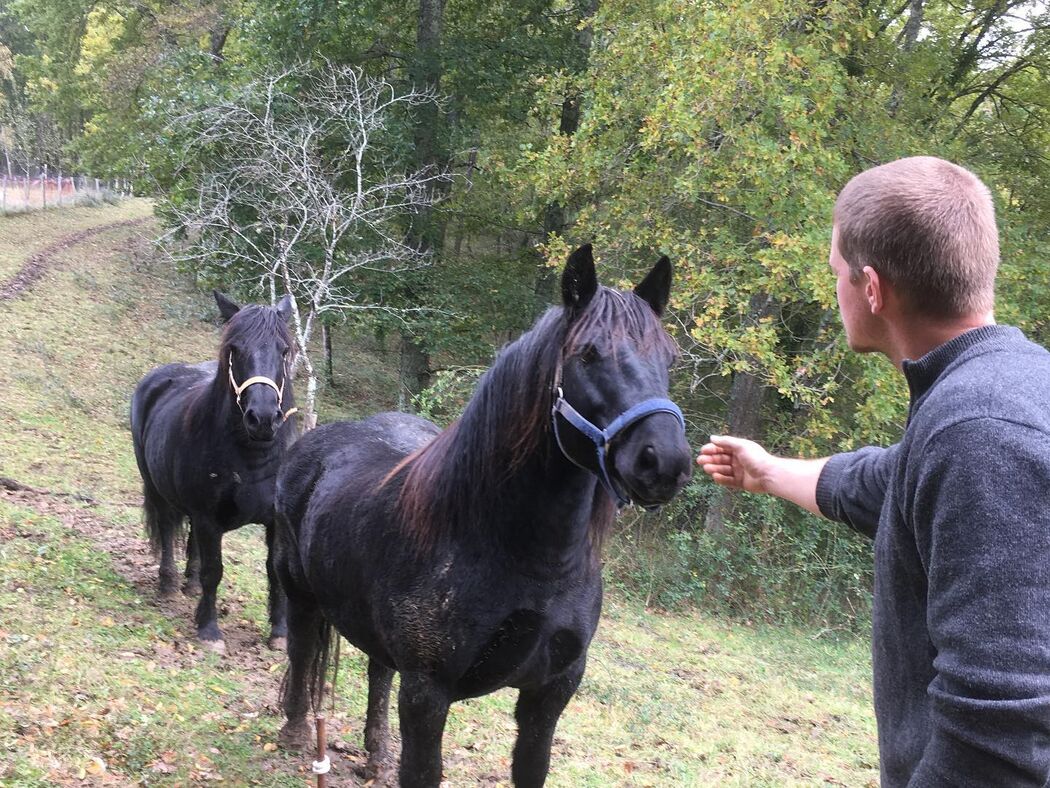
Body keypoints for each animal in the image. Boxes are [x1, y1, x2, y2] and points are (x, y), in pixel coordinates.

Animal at [130, 289, 298, 655]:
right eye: (234, 349)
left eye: (284, 350)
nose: (263, 418)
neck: (251, 457)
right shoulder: (209, 518)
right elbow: (214, 570)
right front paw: (209, 630)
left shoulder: (275, 523)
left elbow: (274, 574)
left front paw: (279, 632)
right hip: (157, 489)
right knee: (167, 529)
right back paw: (169, 584)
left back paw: (189, 584)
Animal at [275, 245, 692, 785]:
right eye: (588, 353)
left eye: (670, 358)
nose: (664, 462)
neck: (526, 559)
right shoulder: (428, 694)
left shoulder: (550, 693)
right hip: (299, 592)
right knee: (303, 649)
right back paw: (294, 732)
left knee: (377, 671)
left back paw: (376, 754)